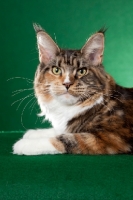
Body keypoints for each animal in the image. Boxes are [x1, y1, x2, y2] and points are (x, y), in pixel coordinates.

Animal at [13, 23, 133, 155]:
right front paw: (33, 133)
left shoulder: (109, 138)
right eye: (56, 70)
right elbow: (58, 131)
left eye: (82, 71)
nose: (67, 84)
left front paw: (24, 144)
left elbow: (64, 139)